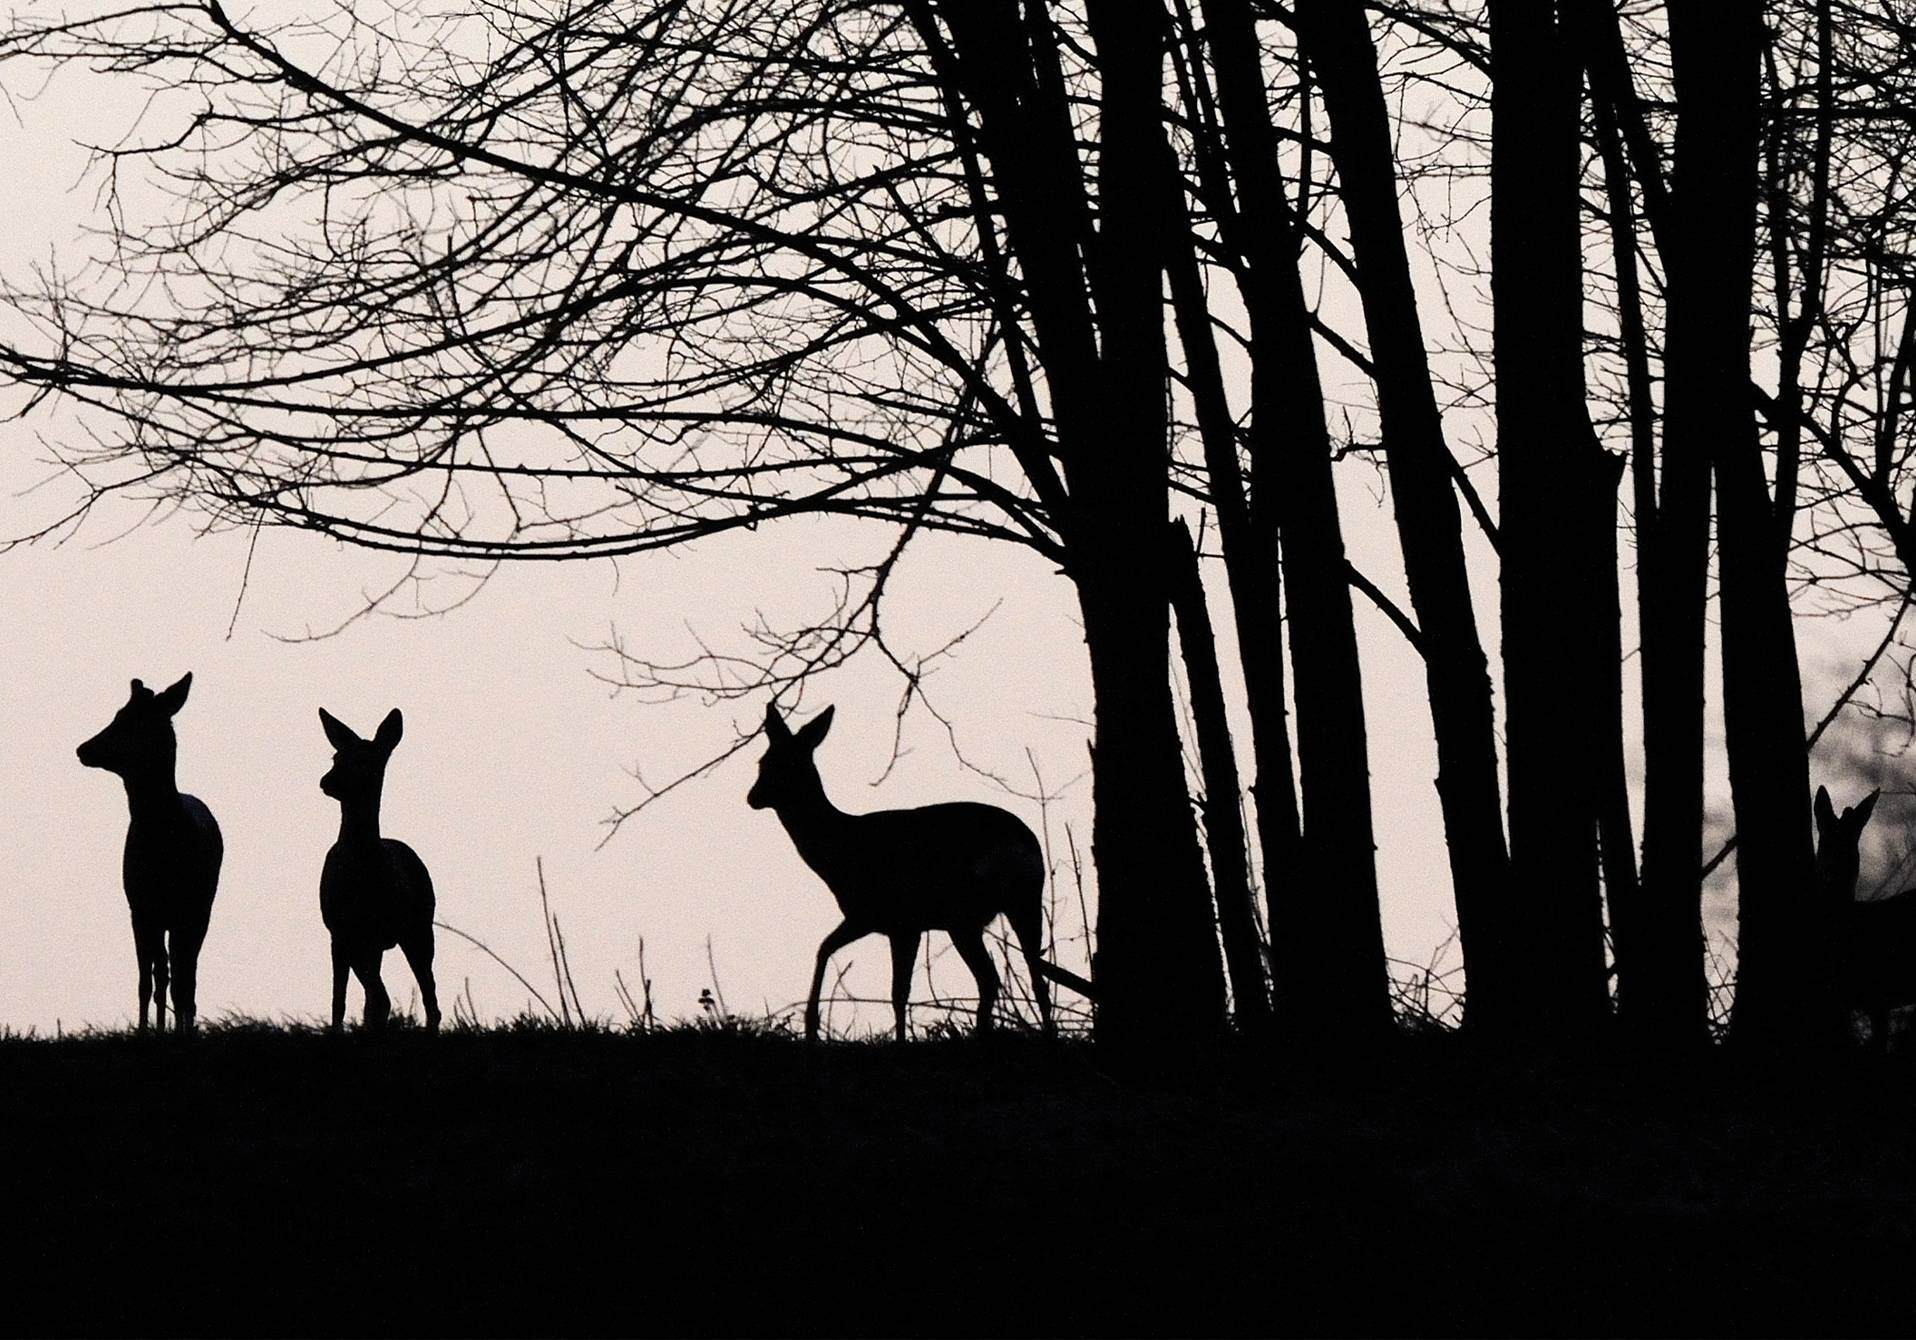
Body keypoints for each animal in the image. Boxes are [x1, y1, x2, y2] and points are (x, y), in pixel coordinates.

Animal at [75, 670, 223, 1035]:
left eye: (130, 721)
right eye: (118, 714)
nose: (83, 748)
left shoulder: (187, 909)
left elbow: (182, 980)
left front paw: (178, 1029)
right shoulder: (140, 906)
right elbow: (147, 980)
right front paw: (145, 1030)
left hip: (203, 907)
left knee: (186, 975)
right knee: (165, 973)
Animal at [321, 709, 440, 1035]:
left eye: (366, 760)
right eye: (336, 756)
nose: (327, 781)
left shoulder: (371, 932)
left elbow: (374, 998)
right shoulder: (340, 931)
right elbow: (340, 1000)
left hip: (420, 927)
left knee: (429, 998)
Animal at [739, 709, 1088, 1042]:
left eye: (787, 764)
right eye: (763, 761)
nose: (752, 797)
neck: (841, 848)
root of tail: (1023, 843)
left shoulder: (889, 917)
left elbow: (886, 985)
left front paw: (815, 1027)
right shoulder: (888, 922)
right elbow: (849, 961)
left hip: (964, 913)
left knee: (997, 978)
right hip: (1018, 903)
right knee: (1029, 975)